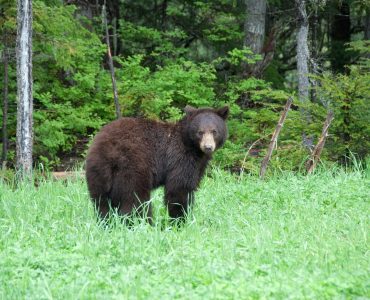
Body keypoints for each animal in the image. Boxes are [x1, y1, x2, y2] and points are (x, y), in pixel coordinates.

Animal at [85, 105, 228, 223]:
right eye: (200, 132)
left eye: (214, 131)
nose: (208, 147)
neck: (193, 147)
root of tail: (108, 150)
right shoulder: (180, 158)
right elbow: (179, 189)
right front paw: (180, 220)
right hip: (133, 167)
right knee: (136, 200)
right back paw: (143, 224)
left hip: (97, 172)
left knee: (101, 202)